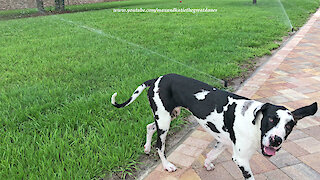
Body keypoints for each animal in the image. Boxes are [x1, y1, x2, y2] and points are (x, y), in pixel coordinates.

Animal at [111, 74, 316, 179]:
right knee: (159, 146)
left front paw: (208, 163)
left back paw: (146, 148)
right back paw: (166, 164)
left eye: (289, 126)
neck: (252, 120)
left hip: (166, 117)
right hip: (164, 122)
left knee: (149, 127)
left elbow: (212, 154)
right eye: (272, 120)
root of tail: (156, 79)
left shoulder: (223, 141)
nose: (276, 140)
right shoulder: (241, 160)